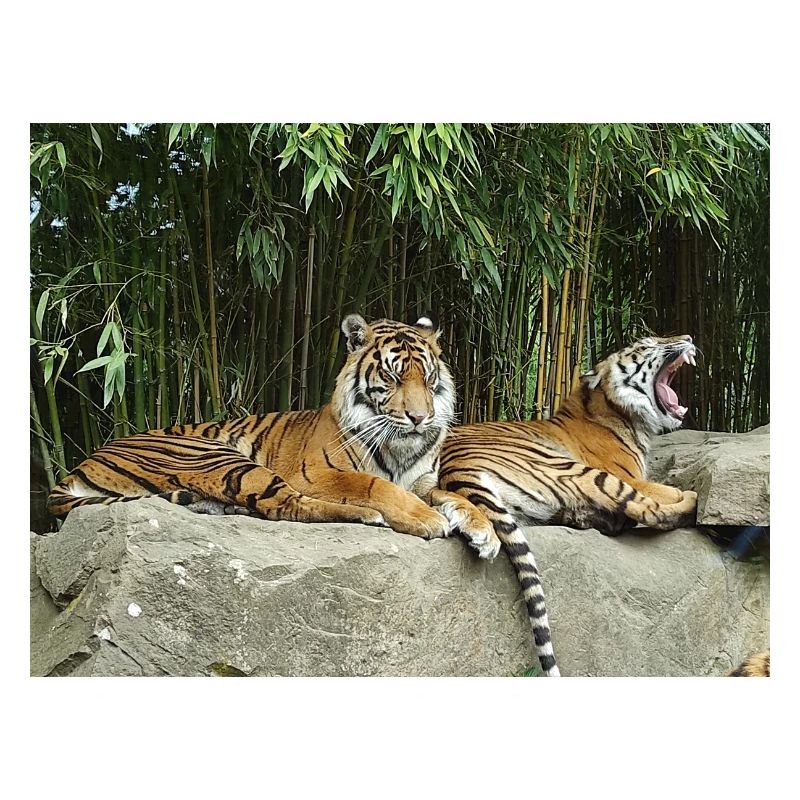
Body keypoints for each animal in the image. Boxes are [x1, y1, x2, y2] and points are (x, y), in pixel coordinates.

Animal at [48, 314, 495, 553]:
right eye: (392, 376)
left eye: (428, 377)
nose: (420, 418)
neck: (402, 446)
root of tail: (82, 464)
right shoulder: (316, 473)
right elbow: (374, 484)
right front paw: (425, 519)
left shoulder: (422, 481)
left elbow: (453, 494)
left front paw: (484, 532)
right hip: (214, 455)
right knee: (287, 506)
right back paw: (367, 517)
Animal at [439, 334, 700, 677]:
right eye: (646, 345)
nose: (688, 338)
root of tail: (456, 467)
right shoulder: (630, 476)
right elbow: (664, 490)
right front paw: (684, 491)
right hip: (579, 471)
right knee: (651, 512)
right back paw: (692, 501)